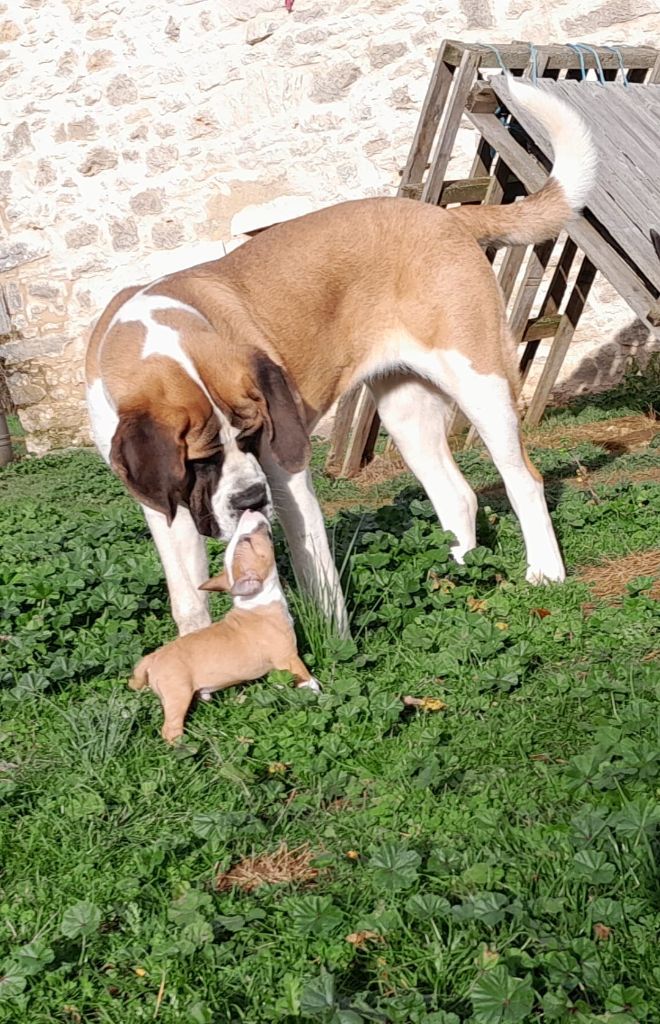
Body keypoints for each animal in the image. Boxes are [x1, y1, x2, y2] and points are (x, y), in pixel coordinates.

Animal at [85, 78, 597, 638]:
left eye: (250, 437)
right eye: (202, 460)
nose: (249, 500)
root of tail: (448, 216)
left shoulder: (285, 471)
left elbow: (318, 576)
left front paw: (334, 646)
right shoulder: (163, 504)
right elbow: (187, 596)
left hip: (480, 383)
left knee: (523, 479)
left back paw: (544, 572)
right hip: (405, 412)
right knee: (456, 495)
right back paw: (455, 577)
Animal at [129, 509, 320, 742]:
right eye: (247, 540)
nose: (249, 509)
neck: (257, 600)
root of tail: (151, 658)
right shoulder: (288, 657)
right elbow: (304, 675)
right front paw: (314, 691)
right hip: (178, 693)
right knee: (170, 729)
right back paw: (187, 744)